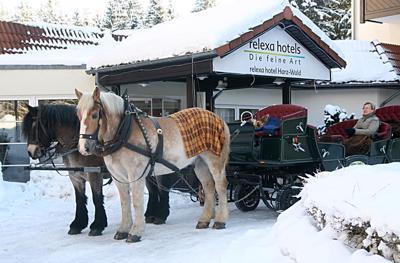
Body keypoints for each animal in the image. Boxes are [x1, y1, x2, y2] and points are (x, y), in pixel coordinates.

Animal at [22, 104, 108, 236]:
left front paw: (98, 225)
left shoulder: (94, 174)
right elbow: (79, 198)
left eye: (34, 127)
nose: (31, 152)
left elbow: (97, 198)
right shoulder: (75, 176)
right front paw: (77, 224)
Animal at [76, 88, 230, 243]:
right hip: (200, 163)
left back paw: (220, 220)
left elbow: (136, 202)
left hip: (215, 162)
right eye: (78, 115)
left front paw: (136, 232)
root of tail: (219, 119)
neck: (124, 131)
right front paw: (123, 230)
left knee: (220, 186)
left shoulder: (136, 174)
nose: (84, 148)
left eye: (95, 115)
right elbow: (124, 202)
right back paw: (204, 220)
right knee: (209, 187)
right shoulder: (118, 177)